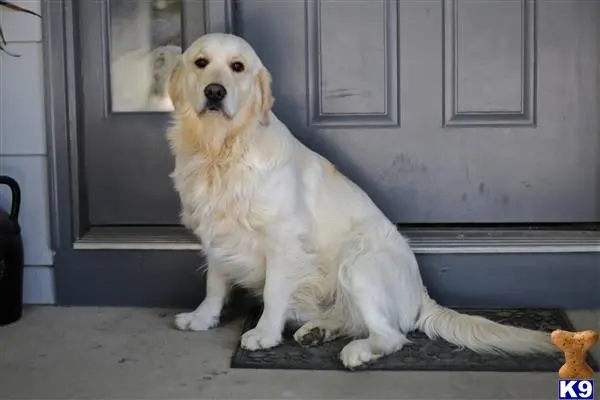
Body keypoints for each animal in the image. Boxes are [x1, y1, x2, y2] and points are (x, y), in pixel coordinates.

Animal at [165, 33, 556, 368]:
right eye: (201, 62)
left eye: (237, 67)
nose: (214, 92)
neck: (220, 150)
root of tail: (420, 296)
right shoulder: (216, 232)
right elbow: (214, 283)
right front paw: (202, 317)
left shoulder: (283, 239)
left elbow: (275, 291)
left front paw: (264, 333)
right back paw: (318, 330)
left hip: (356, 262)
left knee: (391, 335)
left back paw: (358, 352)